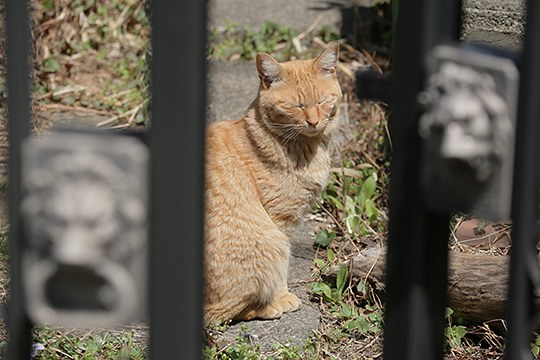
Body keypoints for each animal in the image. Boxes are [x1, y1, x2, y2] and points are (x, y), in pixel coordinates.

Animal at [202, 43, 342, 326]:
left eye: (322, 101)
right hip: (268, 240)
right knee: (225, 313)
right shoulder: (280, 220)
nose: (313, 121)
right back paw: (270, 306)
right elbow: (283, 268)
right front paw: (282, 296)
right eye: (296, 106)